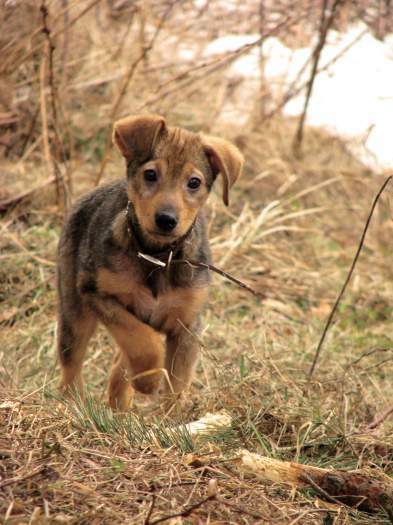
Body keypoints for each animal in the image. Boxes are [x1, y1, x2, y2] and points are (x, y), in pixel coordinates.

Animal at [56, 114, 242, 410]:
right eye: (151, 175)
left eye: (194, 182)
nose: (166, 219)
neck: (158, 256)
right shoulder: (97, 293)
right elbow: (142, 339)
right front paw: (148, 380)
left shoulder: (186, 326)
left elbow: (175, 387)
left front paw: (169, 416)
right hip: (74, 309)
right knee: (71, 366)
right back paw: (75, 405)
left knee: (117, 365)